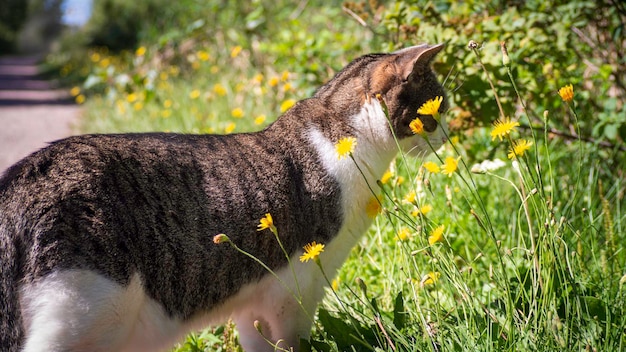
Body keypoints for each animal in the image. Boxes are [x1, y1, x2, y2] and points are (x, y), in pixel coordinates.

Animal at [1, 42, 448, 350]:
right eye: (435, 108)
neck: (343, 135)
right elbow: (293, 342)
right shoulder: (297, 290)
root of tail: (18, 185)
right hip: (84, 310)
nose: (447, 133)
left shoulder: (254, 303)